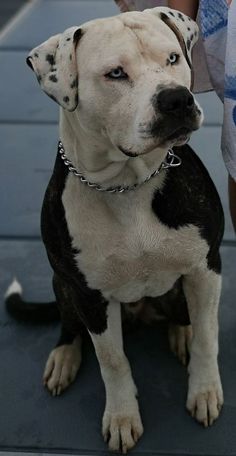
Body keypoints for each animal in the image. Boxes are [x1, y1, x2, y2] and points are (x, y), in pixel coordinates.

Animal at [5, 6, 223, 452]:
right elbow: (112, 360)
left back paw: (181, 333)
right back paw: (64, 357)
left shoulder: (206, 268)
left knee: (185, 316)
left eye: (173, 58)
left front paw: (205, 390)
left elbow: (208, 335)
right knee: (69, 327)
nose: (177, 99)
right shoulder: (90, 296)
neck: (128, 184)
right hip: (62, 285)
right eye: (116, 74)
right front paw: (122, 416)